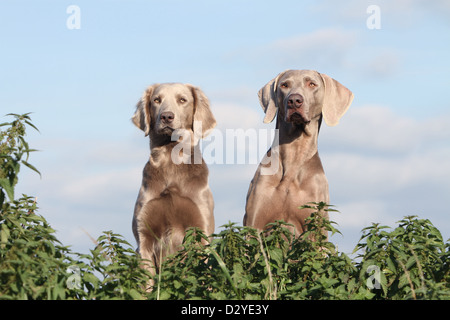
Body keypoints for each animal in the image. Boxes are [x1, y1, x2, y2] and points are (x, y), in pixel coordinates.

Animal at [244, 70, 354, 238]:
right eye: (284, 85)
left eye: (312, 84)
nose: (294, 101)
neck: (294, 154)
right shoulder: (254, 224)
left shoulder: (314, 228)